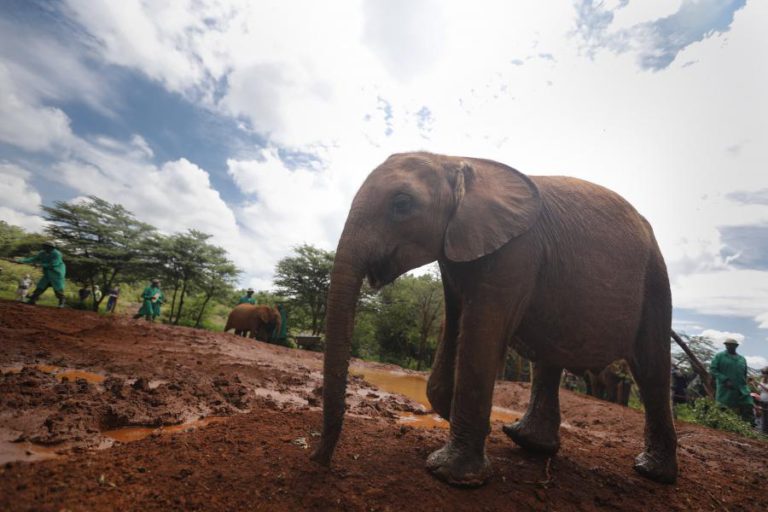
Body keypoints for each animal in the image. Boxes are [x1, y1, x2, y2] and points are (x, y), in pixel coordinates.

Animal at [310, 152, 677, 486]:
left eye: (402, 204)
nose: (320, 461)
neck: (456, 159)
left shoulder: (515, 253)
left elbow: (481, 335)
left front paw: (450, 475)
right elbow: (454, 326)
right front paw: (476, 427)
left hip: (656, 282)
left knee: (651, 370)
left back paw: (653, 473)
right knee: (547, 361)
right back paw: (529, 444)